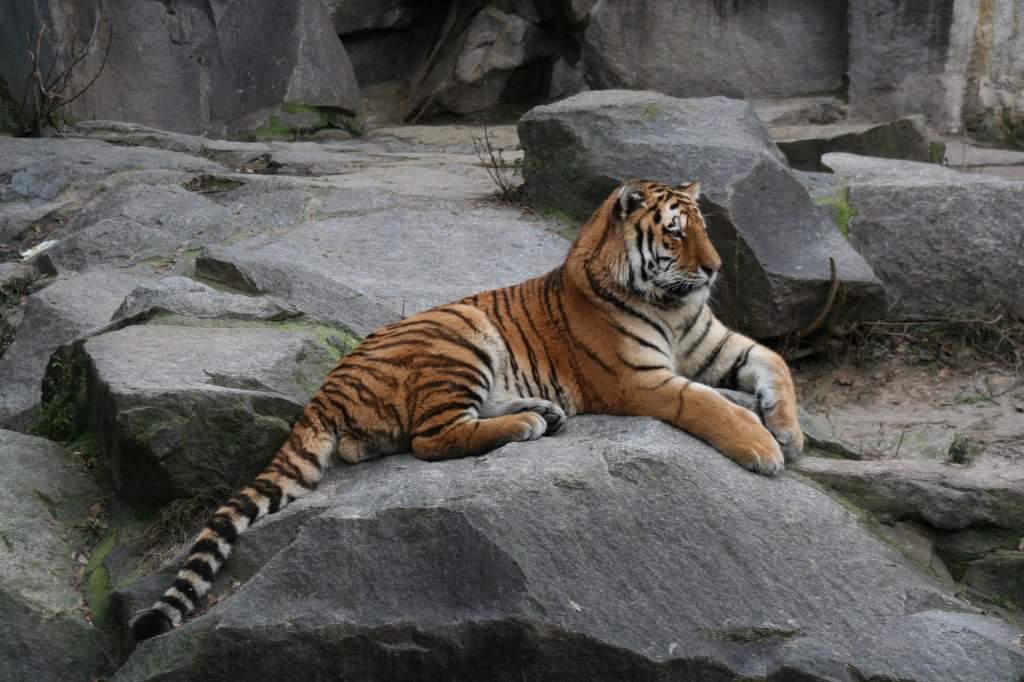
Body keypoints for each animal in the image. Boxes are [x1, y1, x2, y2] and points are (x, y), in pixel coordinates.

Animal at [130, 178, 798, 638]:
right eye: (677, 232)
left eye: (705, 230)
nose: (714, 268)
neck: (674, 306)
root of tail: (323, 389)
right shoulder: (643, 381)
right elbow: (705, 404)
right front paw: (762, 447)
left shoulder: (718, 345)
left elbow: (776, 364)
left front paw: (789, 432)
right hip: (462, 332)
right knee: (432, 439)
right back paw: (529, 421)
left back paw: (543, 411)